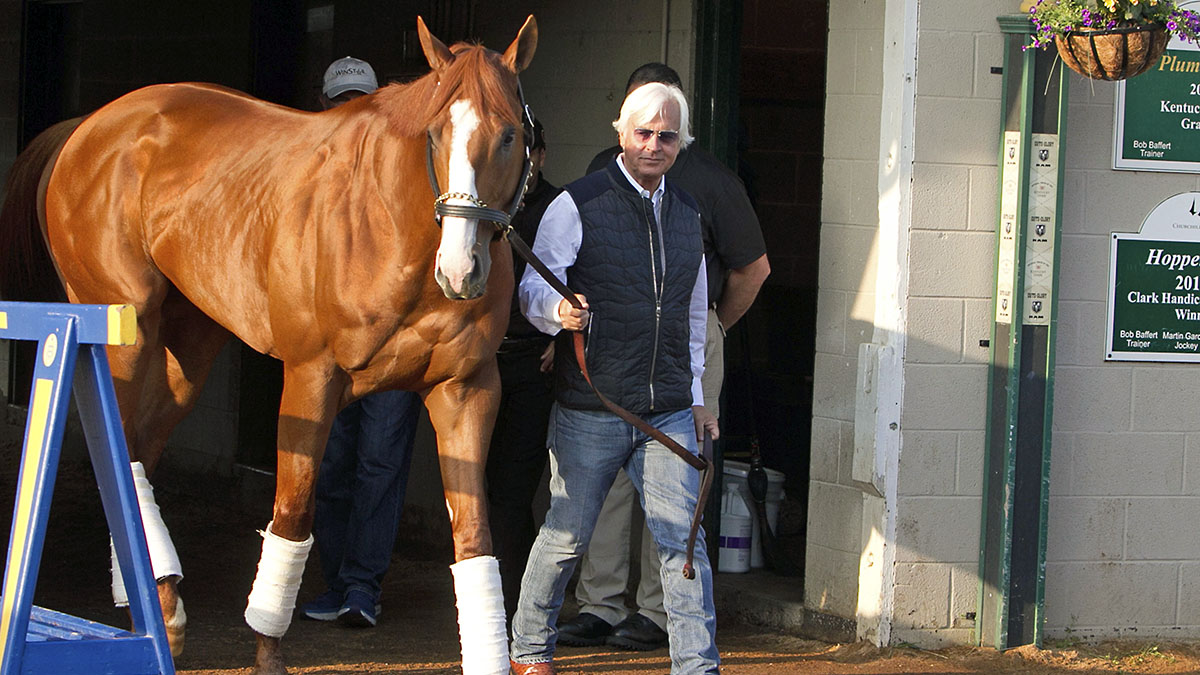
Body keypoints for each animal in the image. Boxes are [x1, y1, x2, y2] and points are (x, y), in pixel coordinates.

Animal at [0, 15, 537, 675]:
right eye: (435, 134)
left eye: (510, 135)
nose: (461, 269)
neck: (390, 229)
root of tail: (90, 126)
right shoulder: (312, 377)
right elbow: (294, 512)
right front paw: (267, 649)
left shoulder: (465, 390)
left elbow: (474, 541)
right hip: (122, 331)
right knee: (118, 448)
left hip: (188, 346)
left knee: (137, 448)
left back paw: (159, 606)